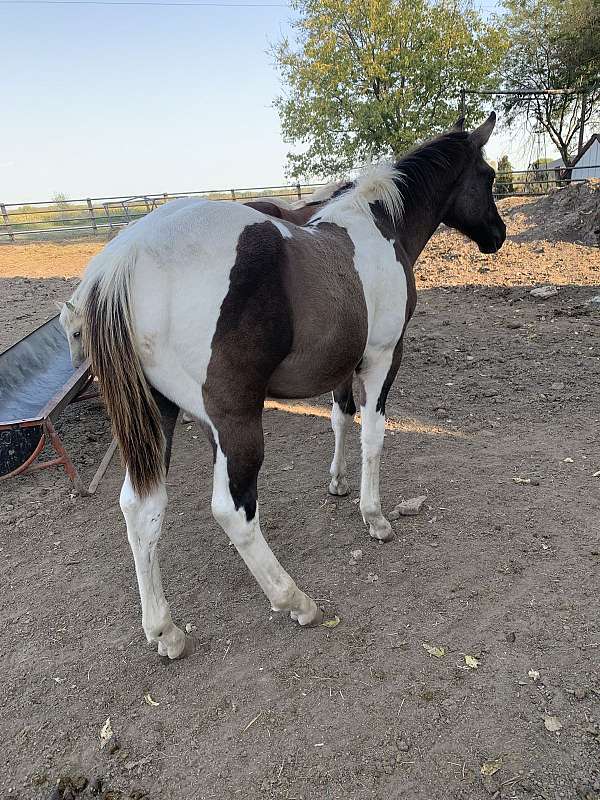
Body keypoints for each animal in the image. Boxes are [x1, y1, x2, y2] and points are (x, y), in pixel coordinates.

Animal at [61, 114, 504, 664]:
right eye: (487, 176)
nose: (498, 235)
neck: (379, 227)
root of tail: (124, 259)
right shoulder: (383, 357)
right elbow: (373, 435)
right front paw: (374, 516)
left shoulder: (342, 365)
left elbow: (340, 417)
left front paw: (337, 482)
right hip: (235, 421)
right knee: (232, 512)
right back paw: (295, 600)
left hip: (161, 416)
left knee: (140, 510)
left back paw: (165, 631)